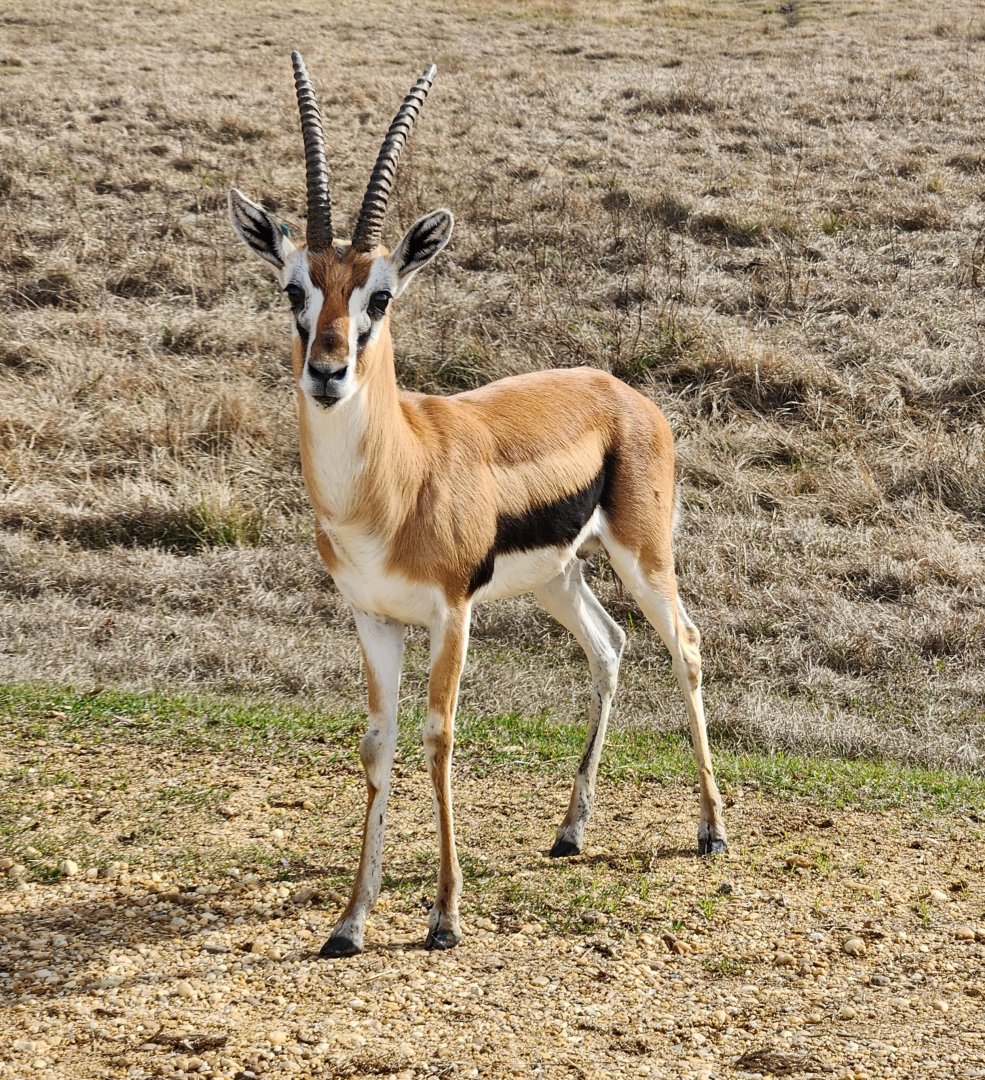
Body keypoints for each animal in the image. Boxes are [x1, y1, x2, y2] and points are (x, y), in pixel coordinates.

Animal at [228, 54, 727, 957]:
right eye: (292, 288)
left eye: (380, 295)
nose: (327, 373)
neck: (394, 481)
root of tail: (623, 391)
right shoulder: (373, 618)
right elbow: (378, 745)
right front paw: (350, 921)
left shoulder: (451, 614)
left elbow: (439, 738)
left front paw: (444, 916)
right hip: (555, 579)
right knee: (607, 648)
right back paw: (569, 831)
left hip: (643, 559)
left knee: (686, 645)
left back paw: (710, 831)